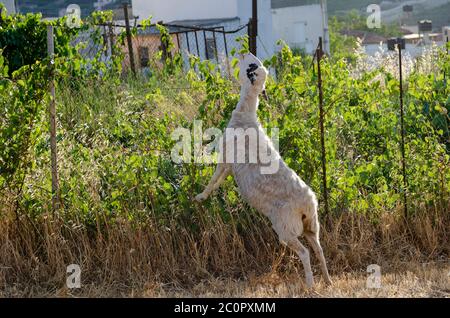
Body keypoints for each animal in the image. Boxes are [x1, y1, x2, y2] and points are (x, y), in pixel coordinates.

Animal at [195, 52, 332, 288]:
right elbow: (220, 179)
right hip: (312, 226)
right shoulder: (230, 167)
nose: (245, 53)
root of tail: (308, 202)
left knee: (305, 253)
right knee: (319, 250)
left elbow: (214, 179)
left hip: (285, 228)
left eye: (251, 66)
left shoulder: (226, 158)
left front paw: (201, 197)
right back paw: (327, 279)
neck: (246, 113)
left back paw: (310, 284)